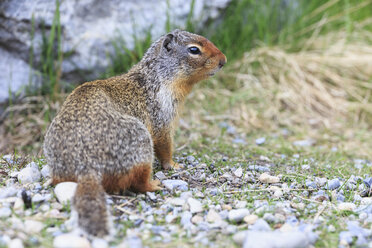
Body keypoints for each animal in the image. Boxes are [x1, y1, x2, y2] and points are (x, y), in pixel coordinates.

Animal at [42, 29, 225, 236]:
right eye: (194, 49)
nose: (223, 60)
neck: (157, 76)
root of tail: (86, 168)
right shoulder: (163, 115)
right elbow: (165, 143)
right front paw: (174, 165)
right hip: (141, 145)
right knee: (138, 182)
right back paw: (154, 185)